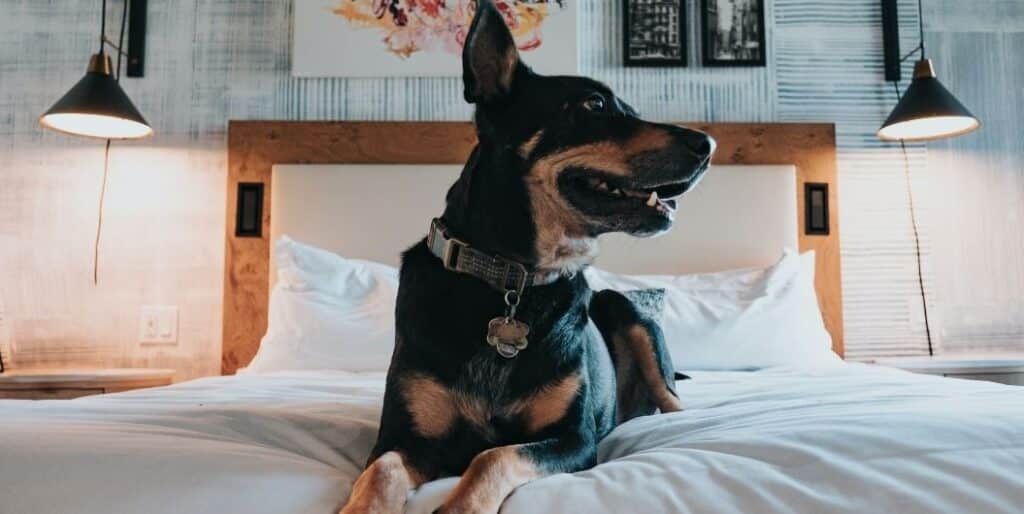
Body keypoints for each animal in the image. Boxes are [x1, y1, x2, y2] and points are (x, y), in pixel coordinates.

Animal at [339, 2, 716, 511]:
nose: (708, 145)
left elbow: (493, 457)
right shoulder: (405, 437)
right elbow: (382, 471)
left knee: (672, 397)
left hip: (626, 310)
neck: (512, 279)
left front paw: (460, 504)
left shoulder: (575, 439)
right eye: (594, 105)